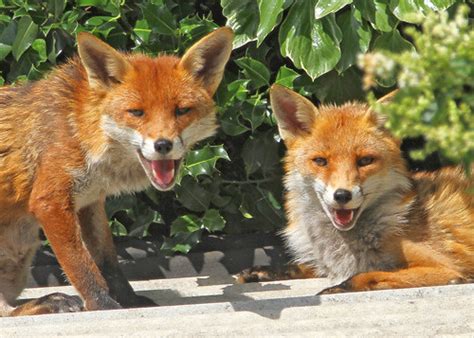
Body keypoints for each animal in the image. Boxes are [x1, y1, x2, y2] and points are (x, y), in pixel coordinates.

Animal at [0, 27, 233, 316]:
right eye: (136, 112)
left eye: (181, 111)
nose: (163, 145)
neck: (82, 130)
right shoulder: (50, 202)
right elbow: (81, 266)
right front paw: (102, 305)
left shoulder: (89, 203)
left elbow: (108, 263)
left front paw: (129, 301)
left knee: (8, 309)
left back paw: (49, 301)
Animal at [241, 84, 474, 294]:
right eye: (321, 161)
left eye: (365, 161)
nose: (342, 195)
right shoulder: (332, 264)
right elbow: (304, 266)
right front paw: (264, 272)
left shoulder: (446, 267)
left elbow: (367, 274)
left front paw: (338, 287)